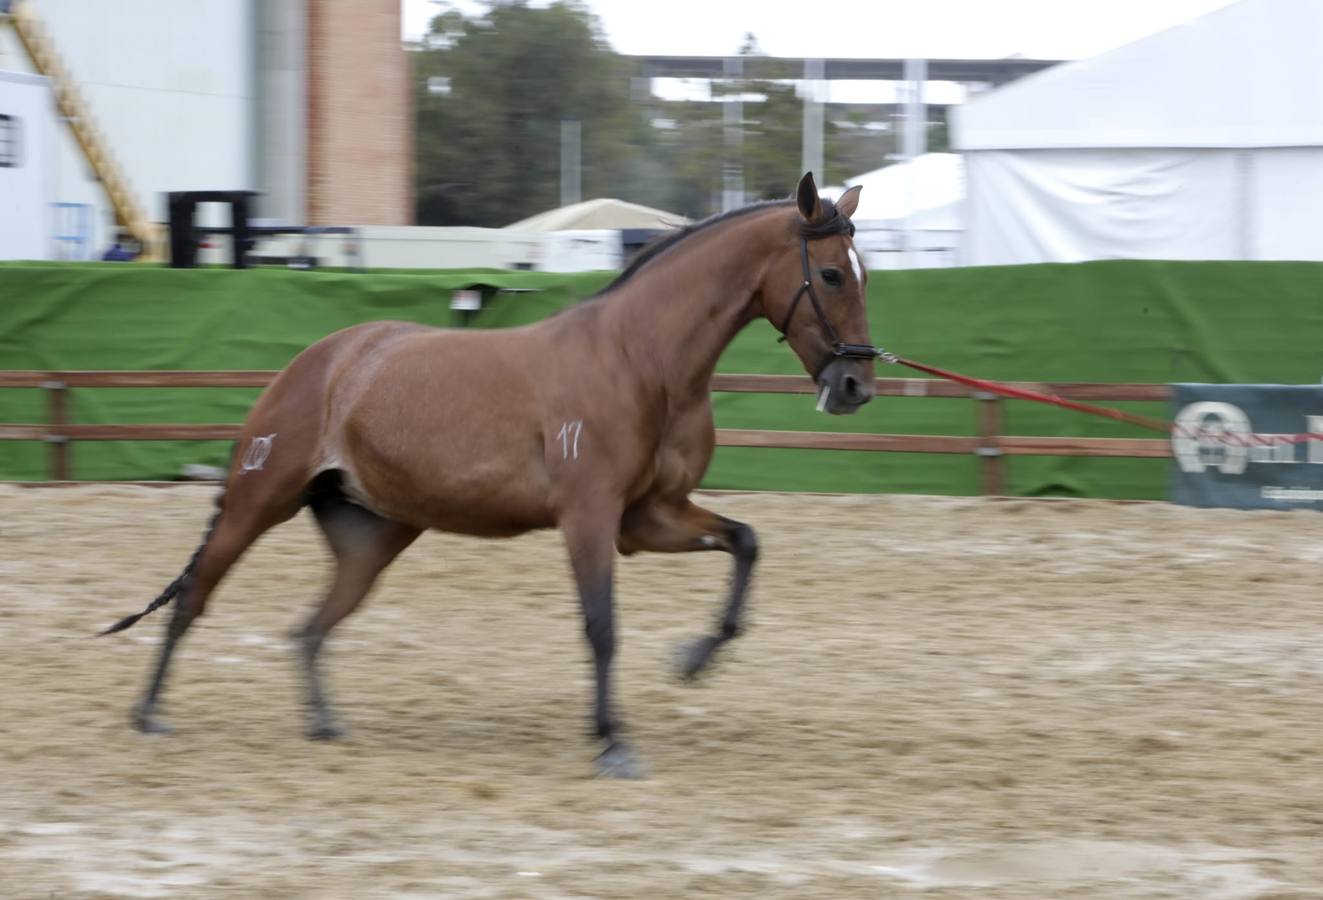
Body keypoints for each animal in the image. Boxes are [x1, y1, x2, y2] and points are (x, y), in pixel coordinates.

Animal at [102, 172, 878, 778]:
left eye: (861, 272)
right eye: (831, 273)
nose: (854, 387)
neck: (637, 359)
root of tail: (320, 361)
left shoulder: (647, 517)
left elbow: (745, 541)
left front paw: (692, 659)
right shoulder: (589, 516)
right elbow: (601, 626)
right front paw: (612, 742)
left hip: (371, 537)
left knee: (311, 628)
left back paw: (324, 724)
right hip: (259, 501)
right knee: (195, 596)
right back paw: (148, 713)